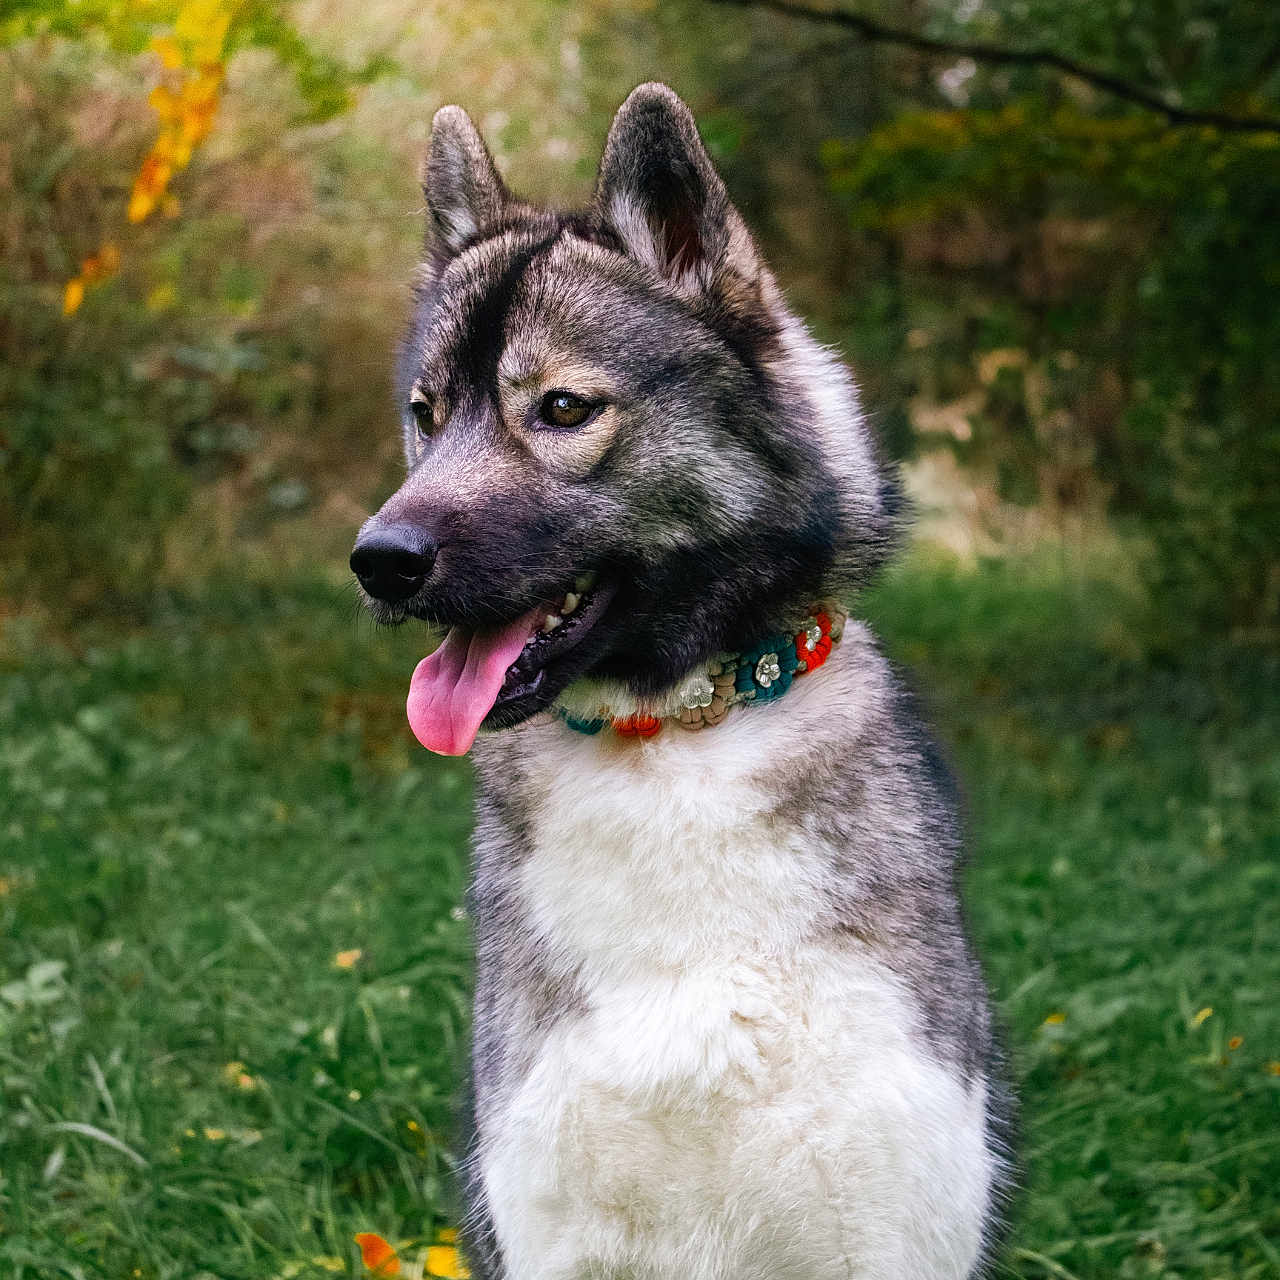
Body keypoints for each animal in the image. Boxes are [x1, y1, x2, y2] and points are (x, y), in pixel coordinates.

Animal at [350, 82, 1014, 1280]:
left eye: (564, 409)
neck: (675, 737)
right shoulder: (553, 1225)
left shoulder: (893, 1219)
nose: (379, 559)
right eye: (425, 414)